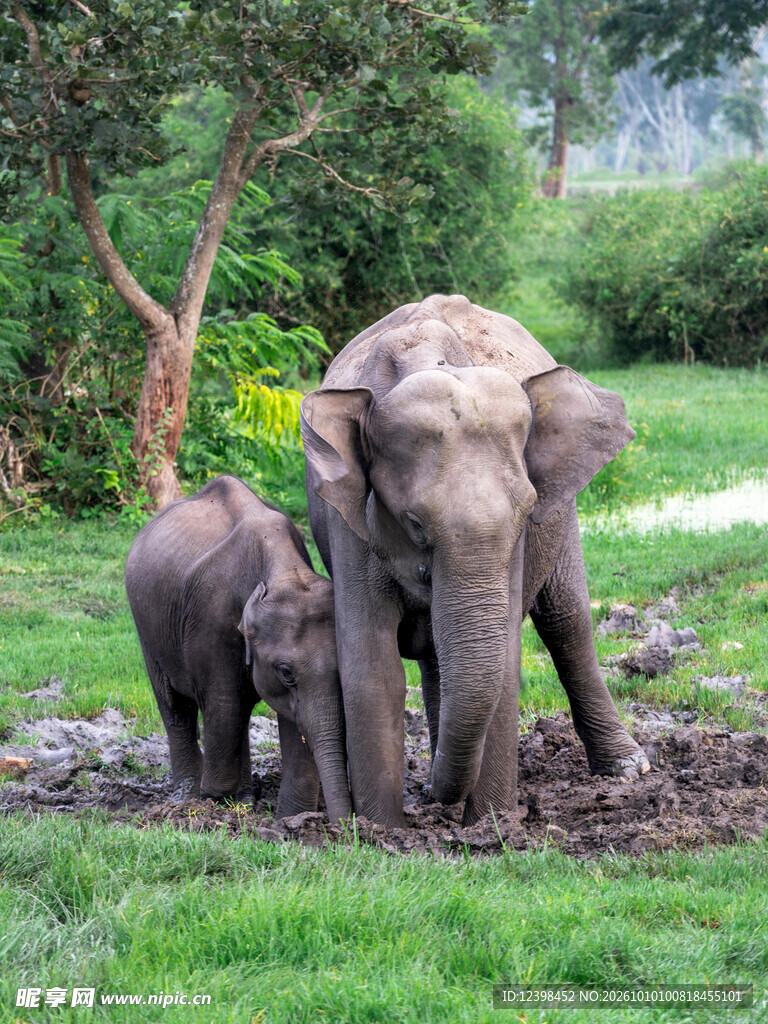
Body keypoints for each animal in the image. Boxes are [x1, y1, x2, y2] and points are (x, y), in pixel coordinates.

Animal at [125, 475, 350, 821]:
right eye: (286, 673)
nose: (349, 826)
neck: (285, 572)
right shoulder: (211, 621)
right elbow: (223, 703)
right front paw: (215, 803)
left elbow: (293, 720)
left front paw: (291, 819)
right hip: (148, 628)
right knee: (178, 707)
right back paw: (188, 799)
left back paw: (243, 800)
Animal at [300, 294, 650, 828]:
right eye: (415, 522)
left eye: (527, 509)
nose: (435, 799)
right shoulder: (351, 526)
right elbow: (372, 668)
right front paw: (382, 831)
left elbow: (504, 663)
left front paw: (490, 827)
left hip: (565, 509)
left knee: (566, 619)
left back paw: (628, 770)